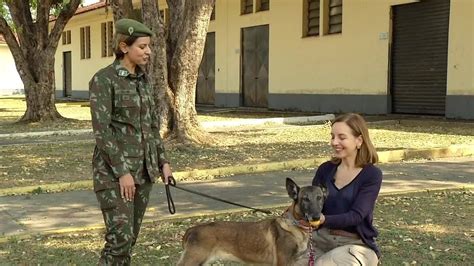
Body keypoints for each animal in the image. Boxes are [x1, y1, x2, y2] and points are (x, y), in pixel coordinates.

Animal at [176, 178, 328, 264]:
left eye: (319, 198)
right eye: (305, 199)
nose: (316, 217)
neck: (294, 225)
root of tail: (192, 229)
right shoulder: (283, 262)